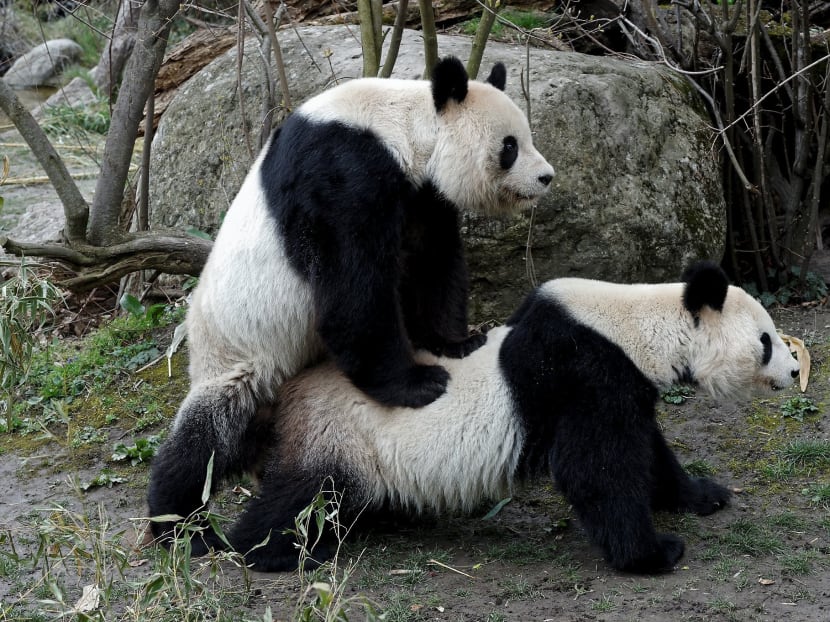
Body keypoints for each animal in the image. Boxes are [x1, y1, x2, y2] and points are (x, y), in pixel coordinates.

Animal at [147, 57, 555, 536]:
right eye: (510, 146)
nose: (546, 177)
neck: (401, 125)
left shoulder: (421, 195)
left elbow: (432, 261)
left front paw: (457, 342)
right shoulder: (342, 174)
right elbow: (355, 290)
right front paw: (418, 384)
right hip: (238, 357)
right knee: (207, 439)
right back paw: (177, 521)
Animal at [191, 261, 802, 574]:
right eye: (766, 341)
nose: (796, 370)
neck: (637, 327)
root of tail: (288, 392)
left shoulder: (619, 382)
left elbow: (650, 450)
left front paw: (704, 495)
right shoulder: (582, 371)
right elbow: (595, 467)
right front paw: (652, 554)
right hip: (339, 434)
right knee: (304, 493)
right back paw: (266, 550)